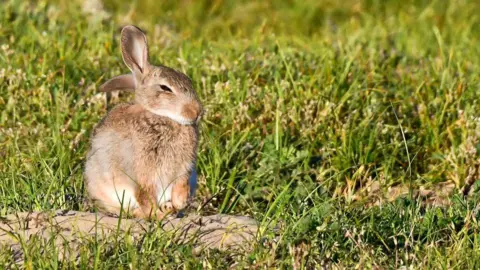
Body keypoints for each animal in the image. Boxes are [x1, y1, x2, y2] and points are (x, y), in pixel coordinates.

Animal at [84, 25, 202, 219]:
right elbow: (146, 198)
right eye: (165, 88)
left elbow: (180, 187)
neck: (162, 116)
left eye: (188, 81)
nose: (197, 111)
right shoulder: (142, 175)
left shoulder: (184, 171)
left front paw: (177, 204)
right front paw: (159, 215)